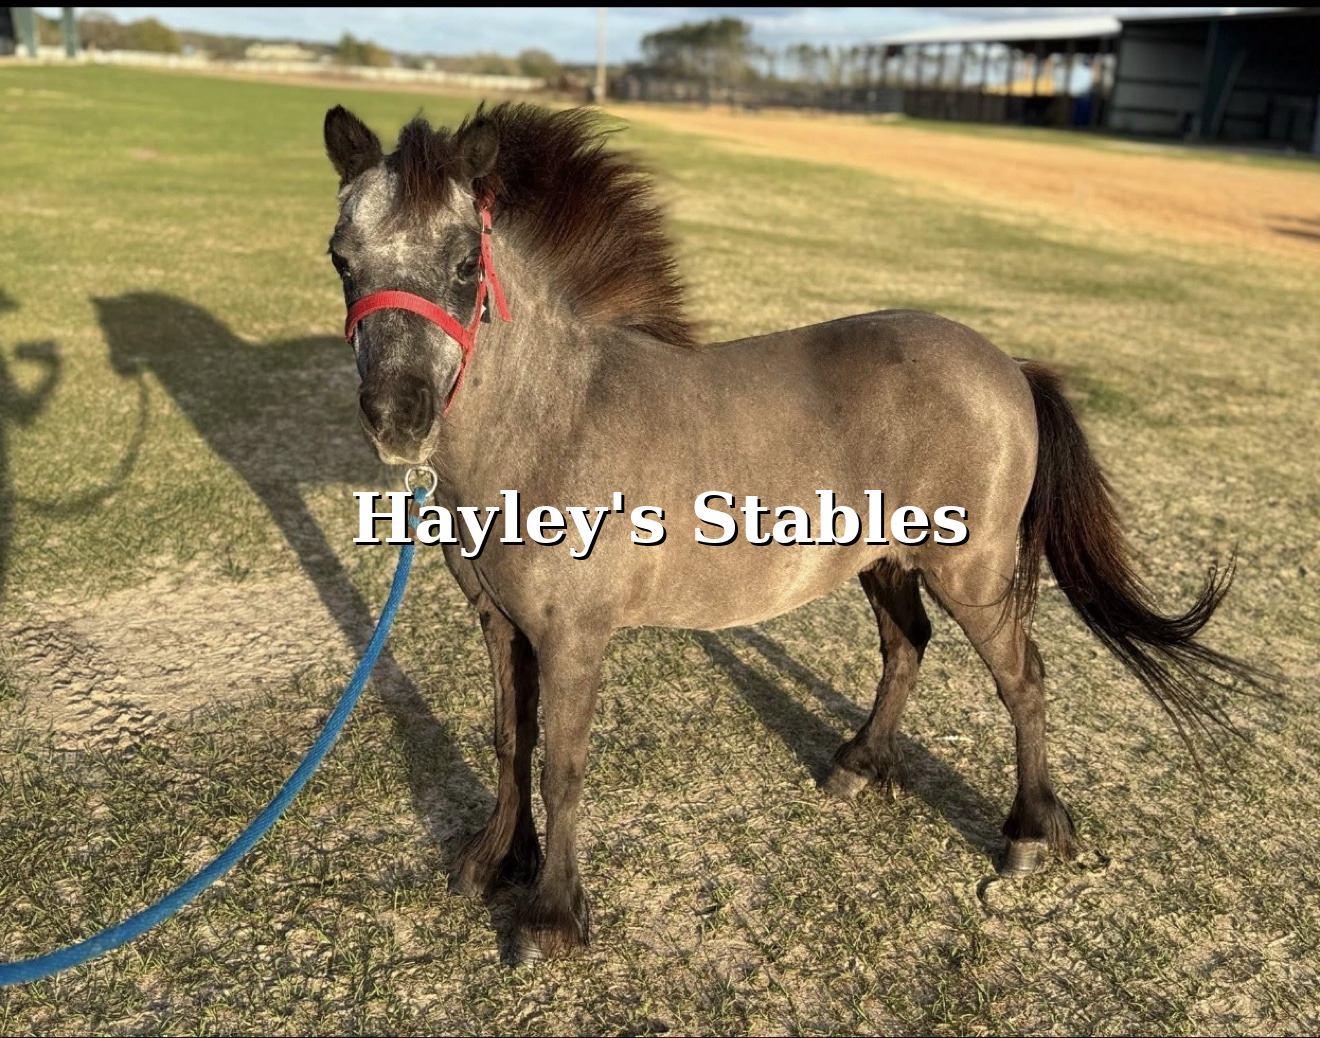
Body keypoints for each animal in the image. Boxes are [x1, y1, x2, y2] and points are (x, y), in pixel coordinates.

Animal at [321, 102, 1261, 963]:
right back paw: (858, 767)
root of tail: (1008, 366)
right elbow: (511, 740)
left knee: (1023, 678)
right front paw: (497, 860)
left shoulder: (573, 637)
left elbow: (564, 764)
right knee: (907, 647)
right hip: (886, 560)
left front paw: (551, 919)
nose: (397, 418)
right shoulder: (501, 624)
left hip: (972, 570)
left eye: (463, 263)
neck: (557, 418)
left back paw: (1029, 834)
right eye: (342, 258)